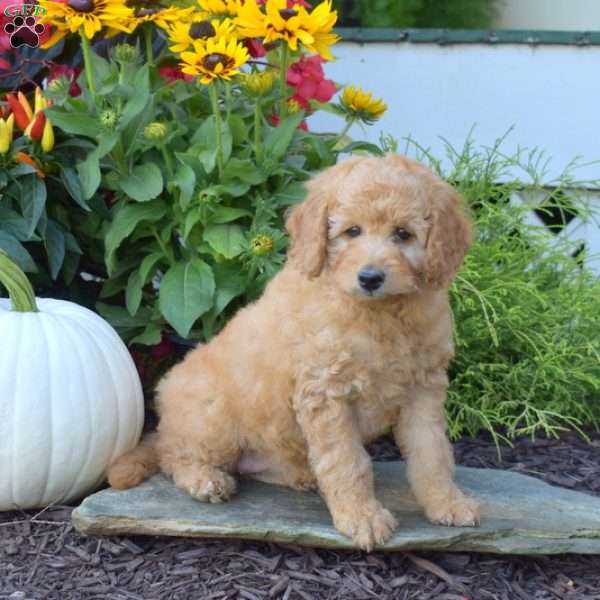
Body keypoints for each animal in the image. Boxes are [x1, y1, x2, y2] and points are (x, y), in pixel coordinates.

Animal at [109, 154, 478, 548]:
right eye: (352, 232)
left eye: (403, 234)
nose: (370, 278)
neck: (379, 314)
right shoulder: (327, 393)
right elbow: (347, 461)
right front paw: (362, 517)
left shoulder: (423, 388)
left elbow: (433, 453)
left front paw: (448, 503)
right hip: (214, 415)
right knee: (172, 453)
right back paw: (205, 479)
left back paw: (302, 475)